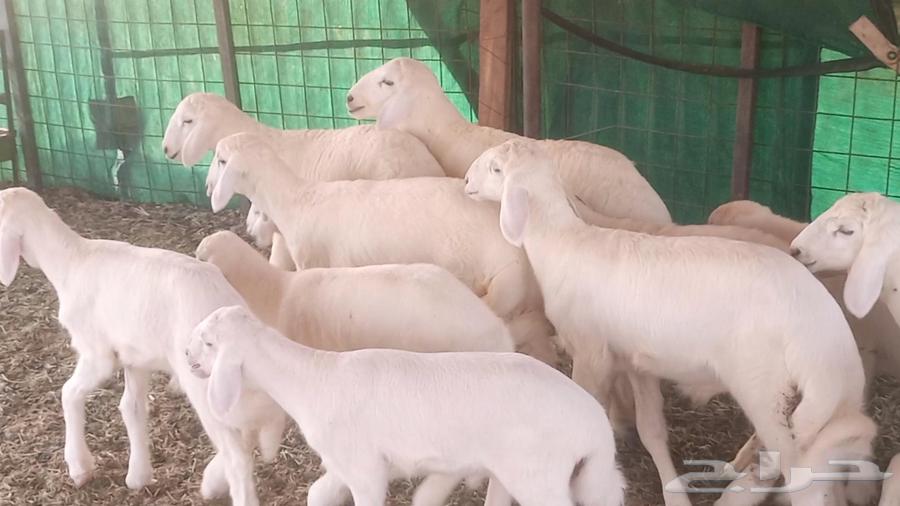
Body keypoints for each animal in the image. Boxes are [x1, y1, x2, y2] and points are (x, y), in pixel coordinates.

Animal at [0, 187, 272, 506]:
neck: (70, 261)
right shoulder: (135, 357)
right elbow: (131, 407)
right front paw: (138, 475)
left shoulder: (96, 353)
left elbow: (69, 393)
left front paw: (80, 467)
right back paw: (212, 481)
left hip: (205, 384)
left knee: (237, 455)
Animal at [186, 305, 626, 506]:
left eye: (208, 342)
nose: (187, 357)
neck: (313, 378)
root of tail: (596, 426)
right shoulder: (347, 464)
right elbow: (317, 493)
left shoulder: (363, 466)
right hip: (515, 470)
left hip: (540, 474)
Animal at [464, 139, 876, 506]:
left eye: (496, 169)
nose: (466, 180)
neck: (561, 242)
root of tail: (825, 328)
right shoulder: (636, 361)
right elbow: (652, 431)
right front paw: (674, 493)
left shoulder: (592, 353)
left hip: (765, 387)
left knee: (797, 471)